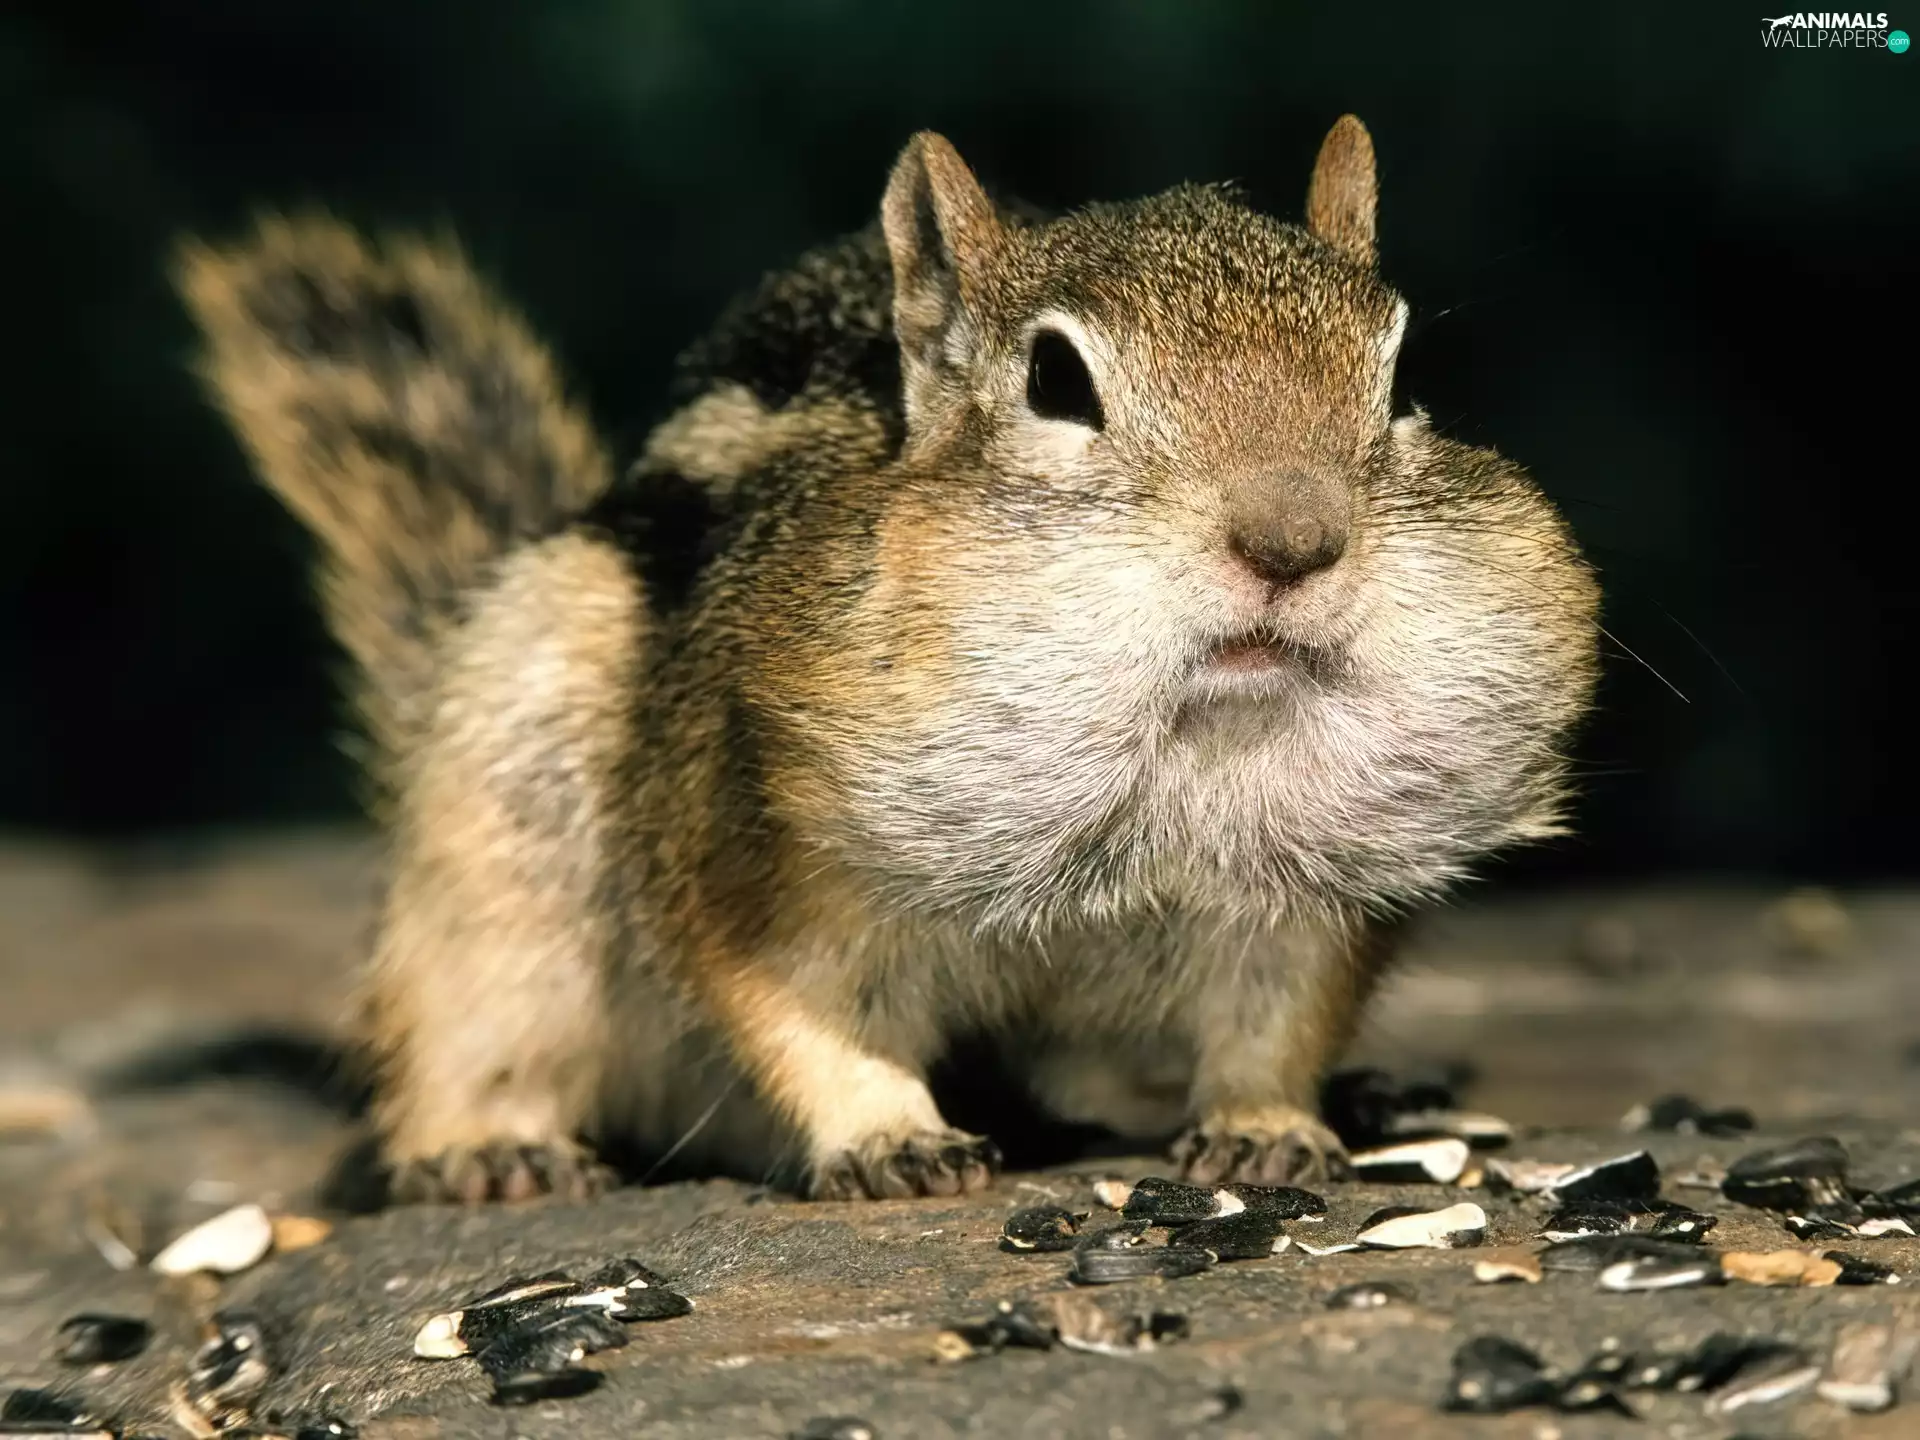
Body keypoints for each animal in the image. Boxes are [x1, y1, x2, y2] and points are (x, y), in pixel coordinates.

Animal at [174, 116, 1600, 1204]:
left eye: (1402, 376)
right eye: (1057, 382)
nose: (1295, 542)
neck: (1184, 739)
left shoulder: (1303, 902)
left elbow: (1276, 1018)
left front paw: (1270, 1125)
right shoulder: (747, 843)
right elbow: (798, 1005)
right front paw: (888, 1136)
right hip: (496, 839)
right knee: (465, 1028)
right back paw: (490, 1149)